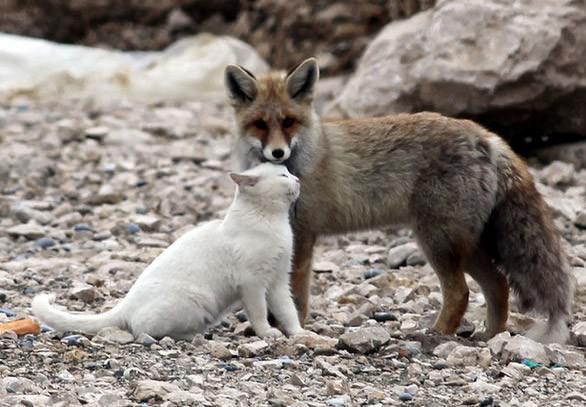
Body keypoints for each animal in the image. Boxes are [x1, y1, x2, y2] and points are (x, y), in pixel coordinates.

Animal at [32, 163, 304, 342]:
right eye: (283, 175)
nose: (298, 178)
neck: (274, 222)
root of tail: (125, 304)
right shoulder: (252, 284)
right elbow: (259, 313)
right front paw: (268, 333)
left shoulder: (279, 281)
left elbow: (288, 311)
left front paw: (300, 333)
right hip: (194, 302)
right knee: (143, 330)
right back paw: (191, 336)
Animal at [225, 58, 576, 344]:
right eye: (260, 124)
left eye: (288, 122)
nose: (278, 153)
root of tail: (488, 136)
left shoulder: (304, 234)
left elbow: (295, 295)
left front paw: (292, 328)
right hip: (464, 245)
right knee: (499, 285)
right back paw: (492, 336)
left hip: (437, 241)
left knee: (460, 293)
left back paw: (437, 335)